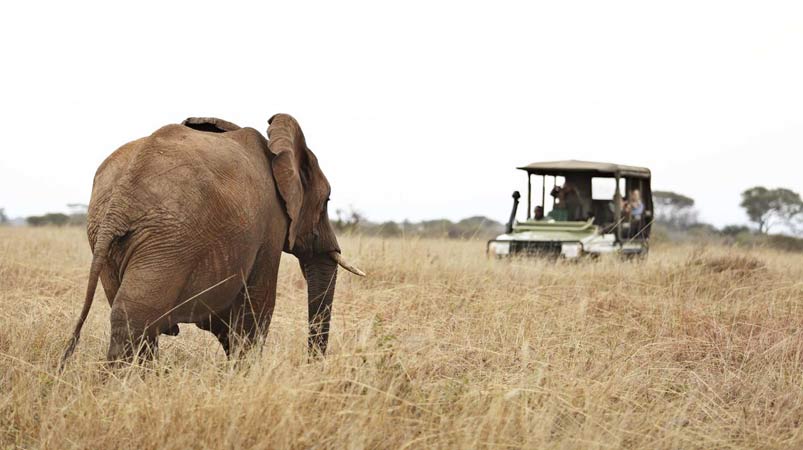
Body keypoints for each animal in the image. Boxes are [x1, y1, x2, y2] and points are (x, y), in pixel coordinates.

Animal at [59, 114, 364, 368]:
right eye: (327, 201)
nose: (312, 365)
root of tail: (120, 201)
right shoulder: (271, 226)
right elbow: (257, 308)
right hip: (169, 240)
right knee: (134, 317)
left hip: (115, 237)